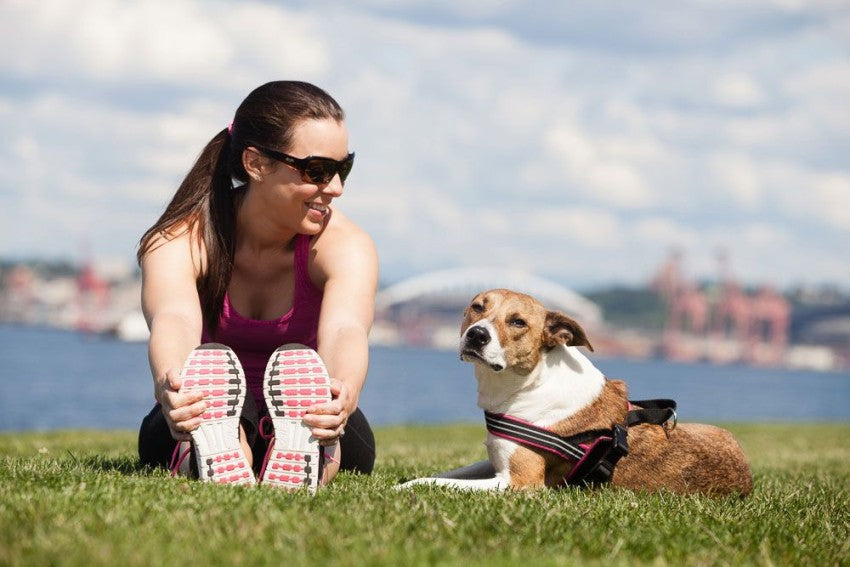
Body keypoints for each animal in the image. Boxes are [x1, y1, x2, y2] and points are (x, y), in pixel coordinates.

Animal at [400, 288, 752, 496]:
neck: (531, 381)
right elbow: (444, 473)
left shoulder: (519, 482)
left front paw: (403, 491)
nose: (476, 335)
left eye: (518, 322)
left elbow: (441, 483)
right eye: (476, 307)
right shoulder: (496, 462)